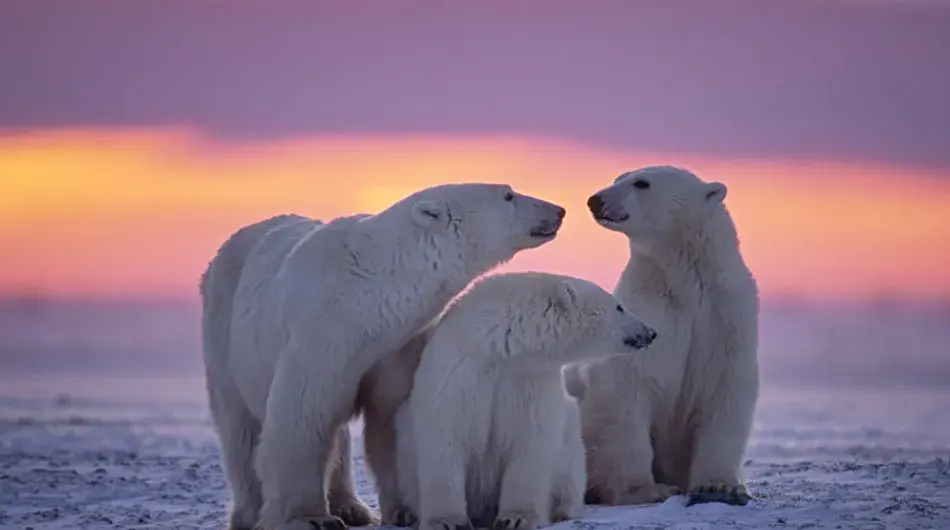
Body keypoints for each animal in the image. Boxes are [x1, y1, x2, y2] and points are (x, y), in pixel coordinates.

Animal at [199, 183, 566, 530]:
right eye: (508, 194)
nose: (559, 210)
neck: (369, 295)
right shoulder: (321, 333)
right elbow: (302, 417)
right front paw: (310, 517)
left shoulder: (397, 346)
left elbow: (392, 417)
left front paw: (405, 510)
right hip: (224, 332)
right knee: (239, 427)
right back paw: (250, 513)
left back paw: (353, 507)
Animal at [389, 271, 660, 530]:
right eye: (619, 307)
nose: (651, 332)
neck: (502, 348)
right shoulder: (459, 372)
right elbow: (446, 438)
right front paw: (446, 521)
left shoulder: (529, 381)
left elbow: (530, 442)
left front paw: (516, 519)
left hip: (571, 439)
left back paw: (563, 510)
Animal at [574, 165, 759, 507]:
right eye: (619, 177)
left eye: (641, 183)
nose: (596, 200)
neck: (685, 283)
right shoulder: (651, 312)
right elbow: (629, 387)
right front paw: (648, 489)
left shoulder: (727, 319)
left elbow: (725, 391)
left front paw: (720, 485)